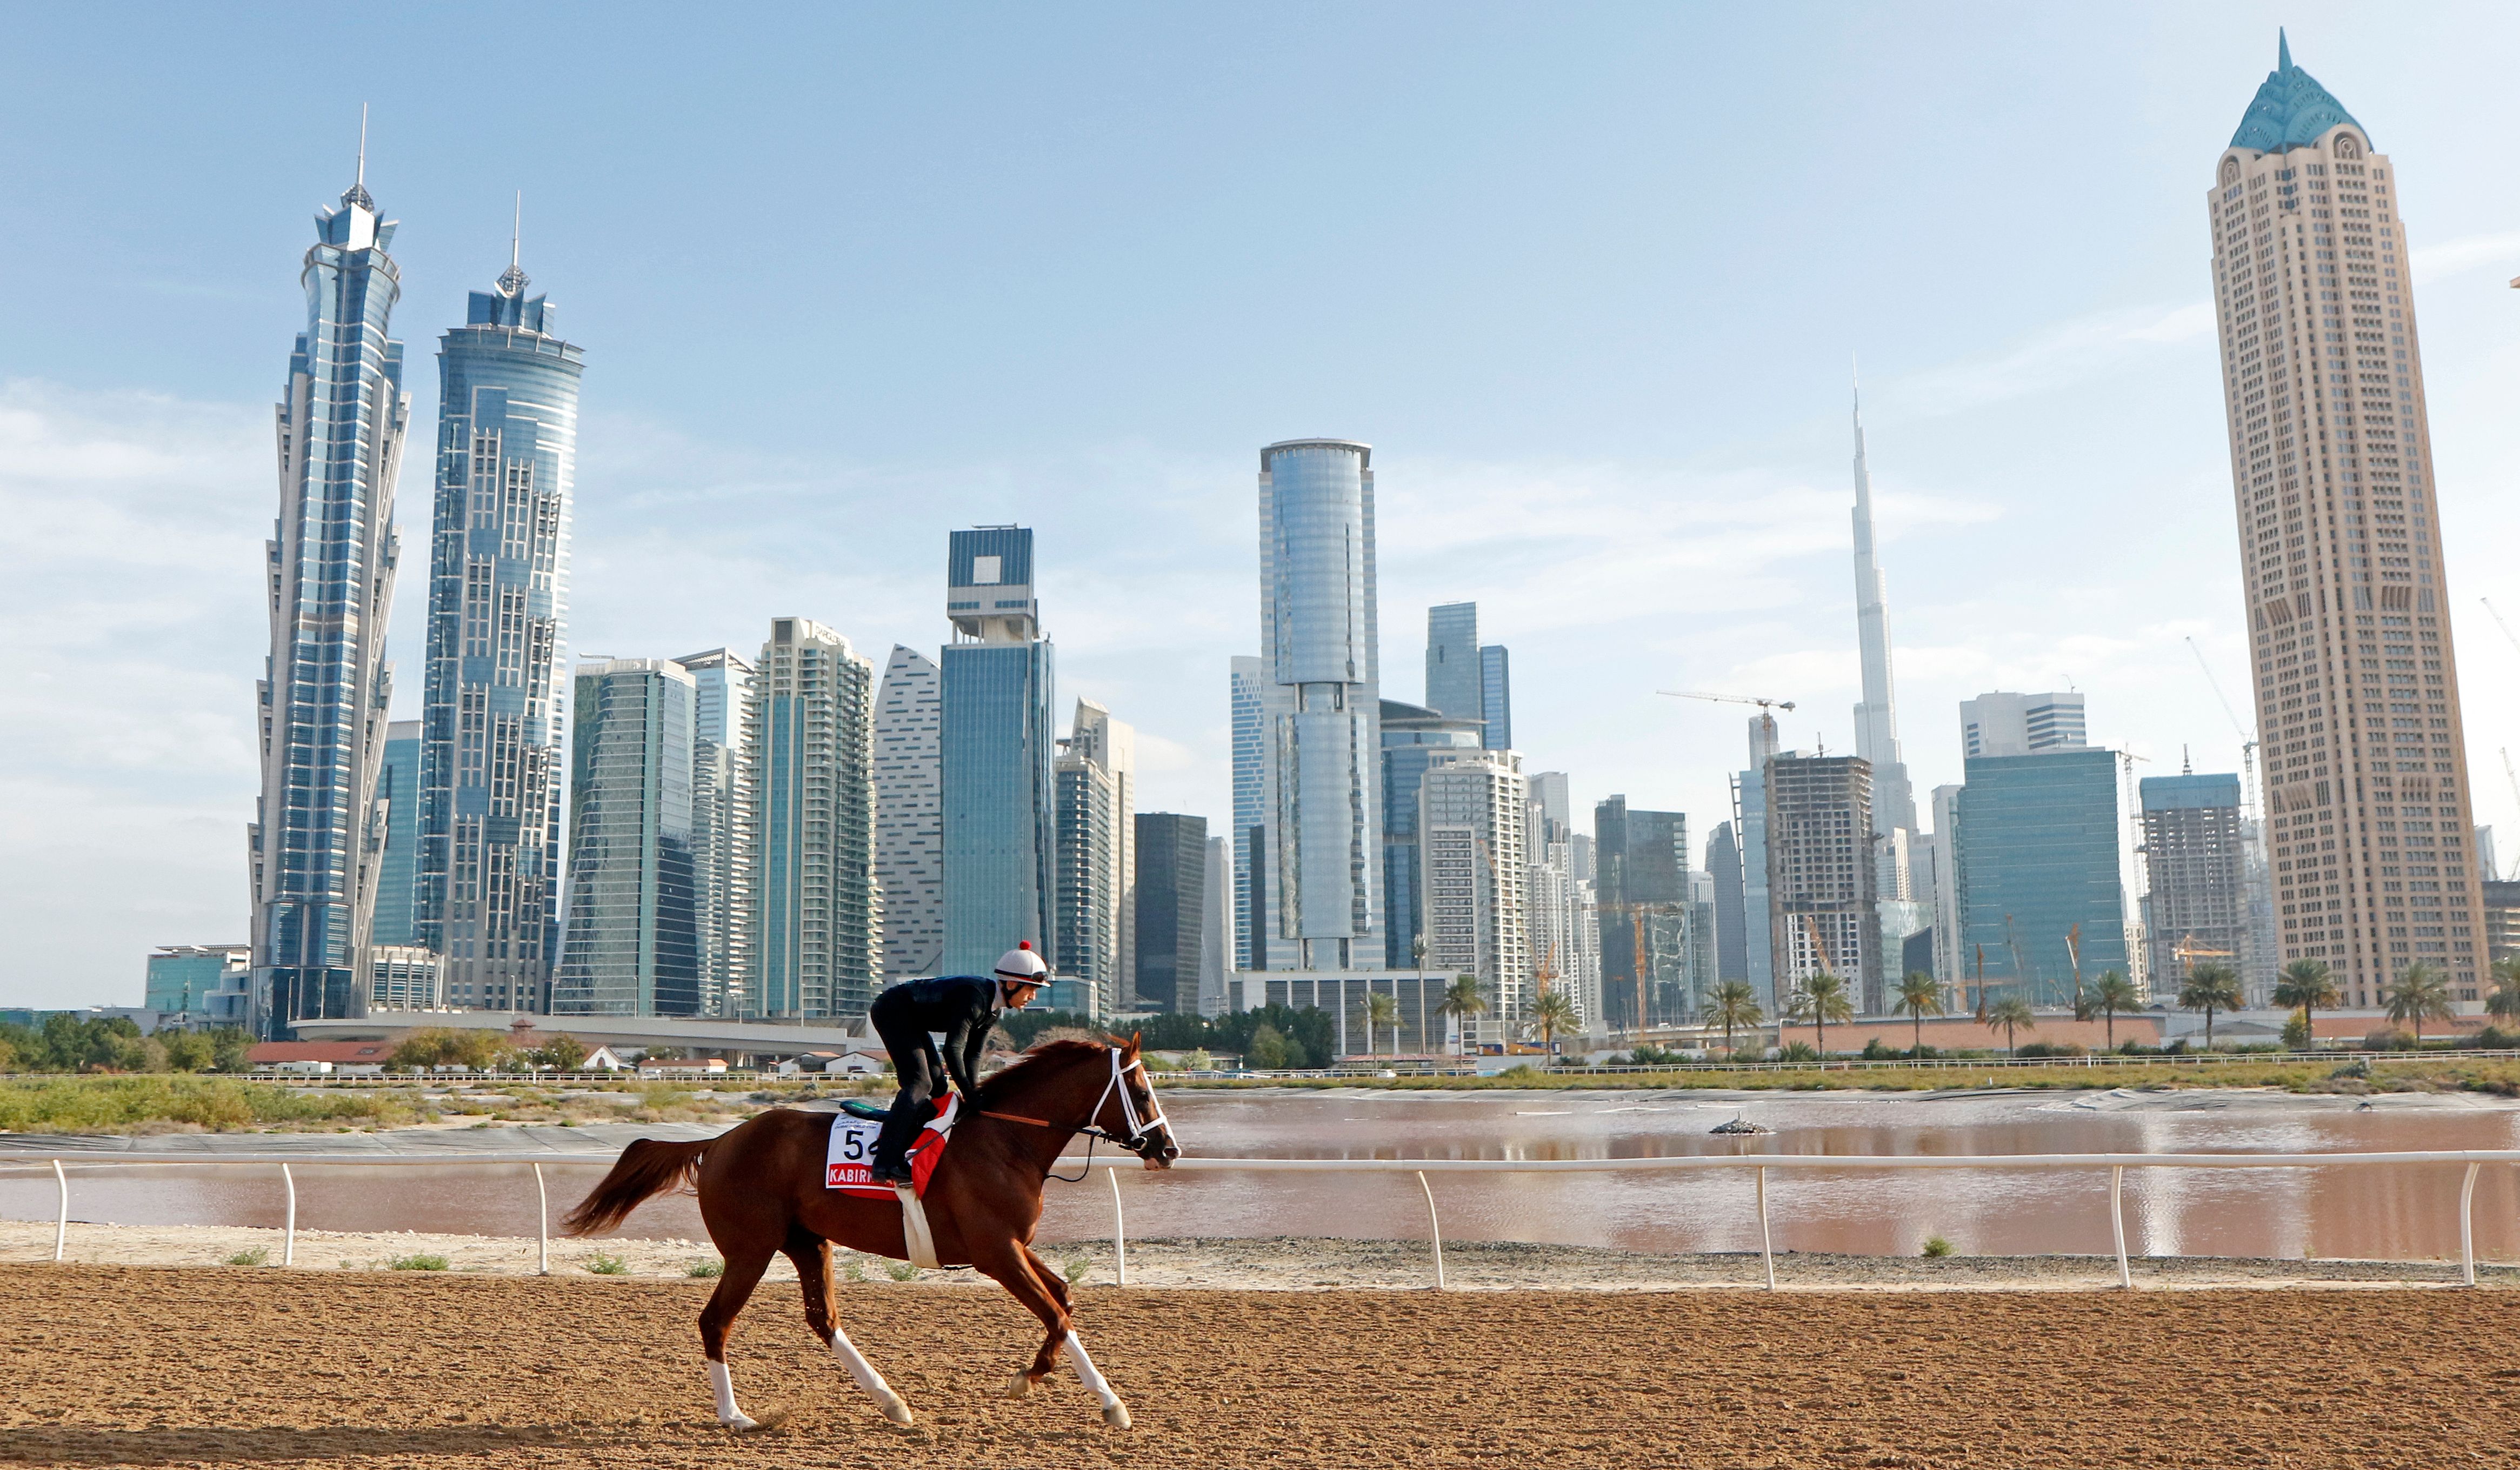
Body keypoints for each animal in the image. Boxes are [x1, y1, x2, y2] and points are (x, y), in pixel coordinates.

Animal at [562, 1039, 1179, 1432]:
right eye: (1141, 1090)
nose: (1168, 1148)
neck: (1007, 1141)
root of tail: (719, 1141)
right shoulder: (996, 1253)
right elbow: (1055, 1313)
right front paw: (1036, 1382)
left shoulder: (1014, 1245)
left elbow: (1064, 1303)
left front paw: (1098, 1398)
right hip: (750, 1249)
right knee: (716, 1321)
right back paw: (735, 1415)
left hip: (807, 1241)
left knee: (823, 1319)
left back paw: (891, 1402)